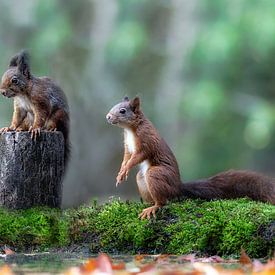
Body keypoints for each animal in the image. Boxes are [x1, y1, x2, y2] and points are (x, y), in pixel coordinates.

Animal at [106, 96, 275, 220]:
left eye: (122, 111)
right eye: (114, 106)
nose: (107, 117)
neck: (130, 130)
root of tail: (178, 187)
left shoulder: (146, 141)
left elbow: (139, 156)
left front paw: (126, 169)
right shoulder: (128, 147)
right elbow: (127, 158)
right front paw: (121, 172)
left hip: (156, 174)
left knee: (164, 201)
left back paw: (154, 206)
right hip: (142, 179)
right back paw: (148, 203)